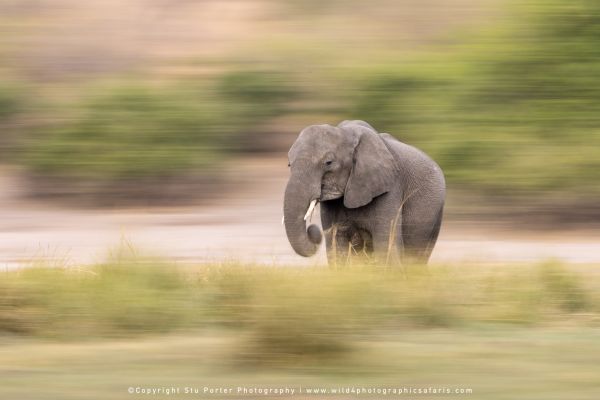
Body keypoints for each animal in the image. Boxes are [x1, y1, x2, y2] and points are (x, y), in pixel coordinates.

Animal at [282, 121, 446, 266]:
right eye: (289, 164)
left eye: (328, 163)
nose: (312, 230)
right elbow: (336, 244)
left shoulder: (390, 187)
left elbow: (385, 243)